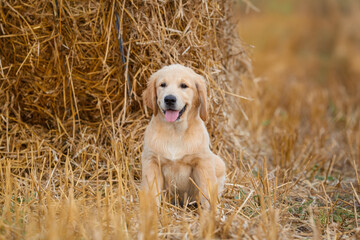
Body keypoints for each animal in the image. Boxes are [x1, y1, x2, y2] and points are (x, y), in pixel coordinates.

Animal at [141, 64, 225, 208]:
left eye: (184, 86)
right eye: (162, 84)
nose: (169, 99)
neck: (175, 132)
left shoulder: (203, 162)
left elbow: (207, 194)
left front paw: (211, 213)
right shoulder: (151, 161)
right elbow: (152, 194)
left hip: (219, 162)